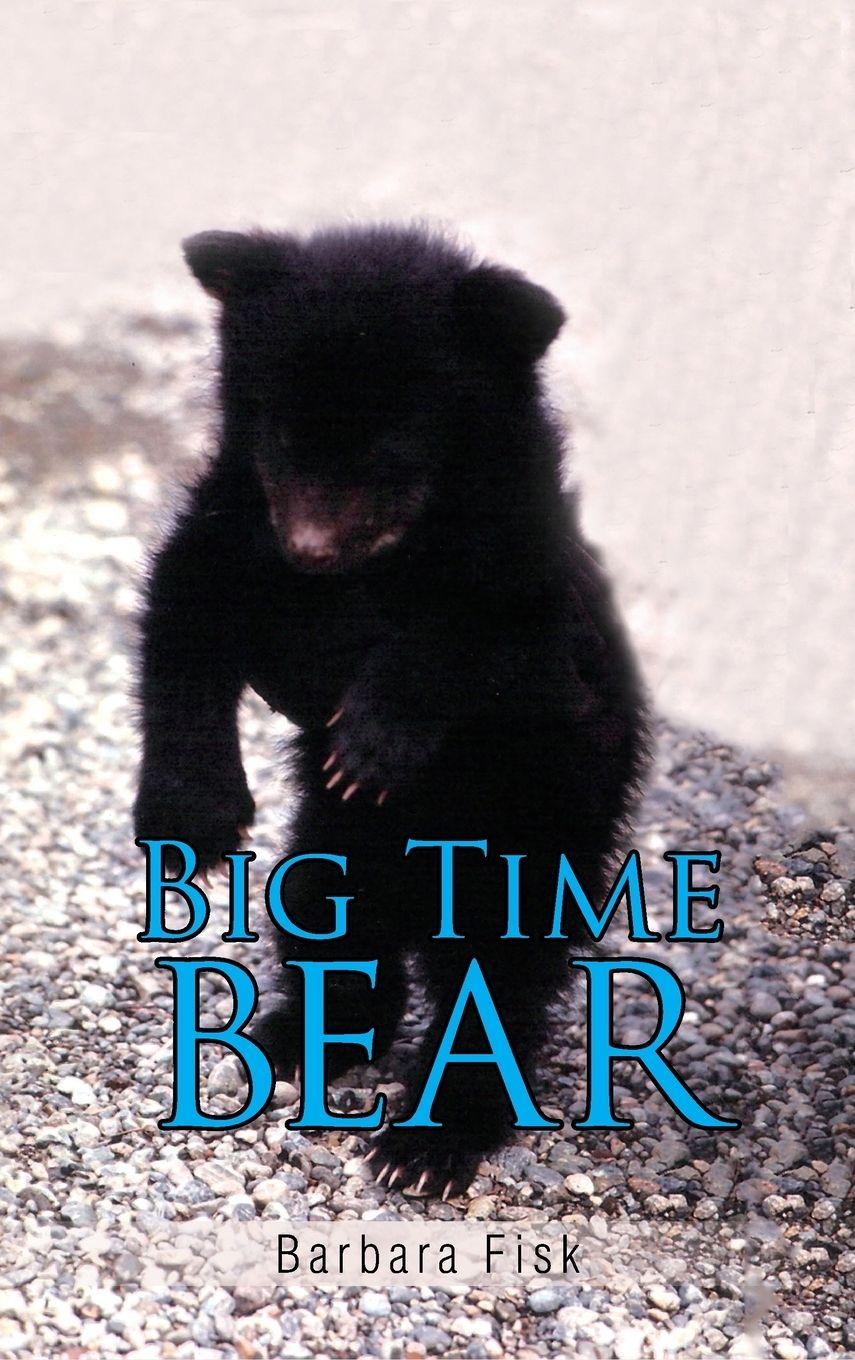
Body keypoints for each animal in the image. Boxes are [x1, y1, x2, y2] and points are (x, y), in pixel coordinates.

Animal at [134, 223, 649, 1198]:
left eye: (391, 450)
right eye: (281, 430)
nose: (309, 548)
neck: (383, 566)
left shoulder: (534, 587)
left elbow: (478, 643)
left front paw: (373, 742)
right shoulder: (231, 525)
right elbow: (184, 624)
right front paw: (191, 815)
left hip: (534, 841)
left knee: (496, 980)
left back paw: (427, 1143)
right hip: (329, 849)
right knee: (334, 928)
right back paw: (295, 1038)